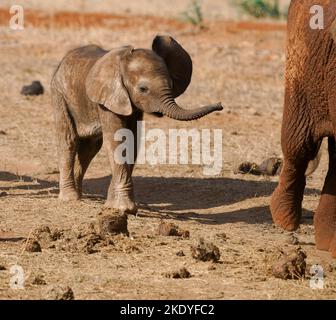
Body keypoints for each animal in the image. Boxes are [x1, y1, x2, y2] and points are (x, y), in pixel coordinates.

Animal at [50, 34, 223, 215]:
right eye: (143, 89)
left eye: (171, 84)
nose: (220, 105)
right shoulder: (109, 100)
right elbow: (117, 140)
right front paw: (124, 208)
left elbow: (131, 142)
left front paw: (113, 206)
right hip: (60, 94)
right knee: (68, 141)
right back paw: (70, 198)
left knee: (89, 149)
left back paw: (79, 194)